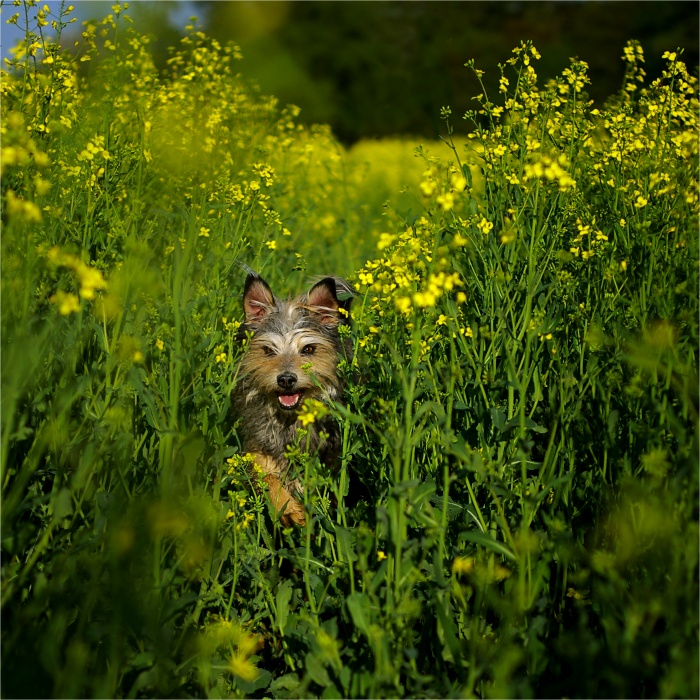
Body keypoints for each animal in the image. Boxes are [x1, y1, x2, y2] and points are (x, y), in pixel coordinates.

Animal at [232, 274, 352, 524]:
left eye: (309, 349)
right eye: (268, 350)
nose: (286, 379)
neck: (290, 419)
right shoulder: (260, 448)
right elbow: (267, 477)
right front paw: (288, 509)